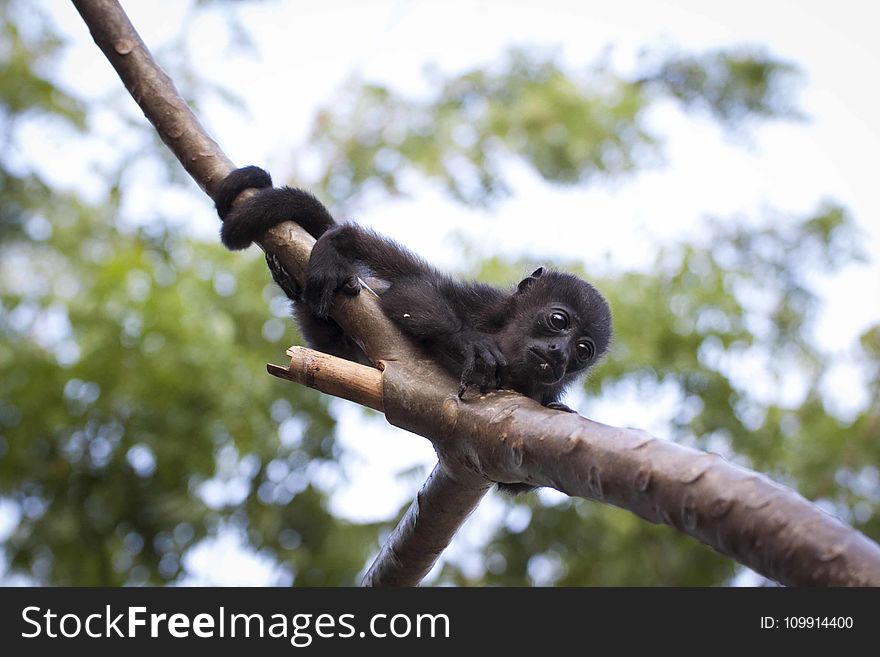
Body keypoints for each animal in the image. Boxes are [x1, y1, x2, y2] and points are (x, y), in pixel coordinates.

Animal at [215, 167, 612, 490]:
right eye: (558, 321)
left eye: (582, 350)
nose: (560, 353)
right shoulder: (484, 304)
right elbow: (410, 294)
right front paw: (469, 344)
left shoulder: (540, 396)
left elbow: (514, 481)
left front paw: (562, 411)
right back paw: (331, 248)